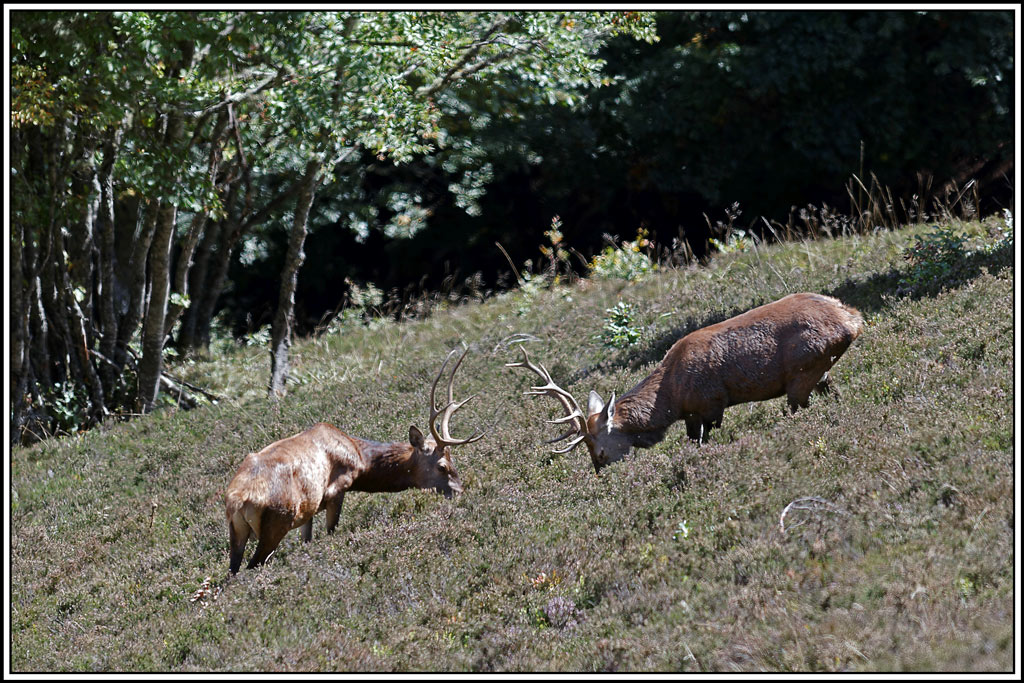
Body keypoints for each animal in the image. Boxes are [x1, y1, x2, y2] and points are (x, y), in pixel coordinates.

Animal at [225, 347, 483, 573]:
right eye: (442, 466)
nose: (460, 491)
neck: (360, 460)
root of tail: (238, 500)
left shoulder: (309, 509)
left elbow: (307, 540)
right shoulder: (336, 490)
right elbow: (331, 533)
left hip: (237, 532)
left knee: (233, 571)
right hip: (277, 522)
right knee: (253, 565)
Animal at [508, 292, 863, 473]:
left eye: (600, 450)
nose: (602, 474)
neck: (672, 400)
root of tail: (852, 318)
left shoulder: (710, 404)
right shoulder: (694, 413)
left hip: (802, 372)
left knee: (799, 407)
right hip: (820, 370)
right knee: (834, 393)